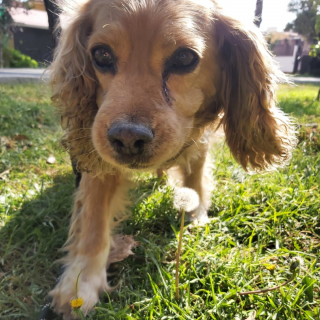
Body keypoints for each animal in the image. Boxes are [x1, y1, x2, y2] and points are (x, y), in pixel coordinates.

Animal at [48, 0, 296, 318]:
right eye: (101, 55)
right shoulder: (99, 165)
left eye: (184, 57)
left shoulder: (200, 143)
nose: (127, 138)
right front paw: (80, 286)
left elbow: (195, 181)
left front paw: (197, 216)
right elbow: (93, 225)